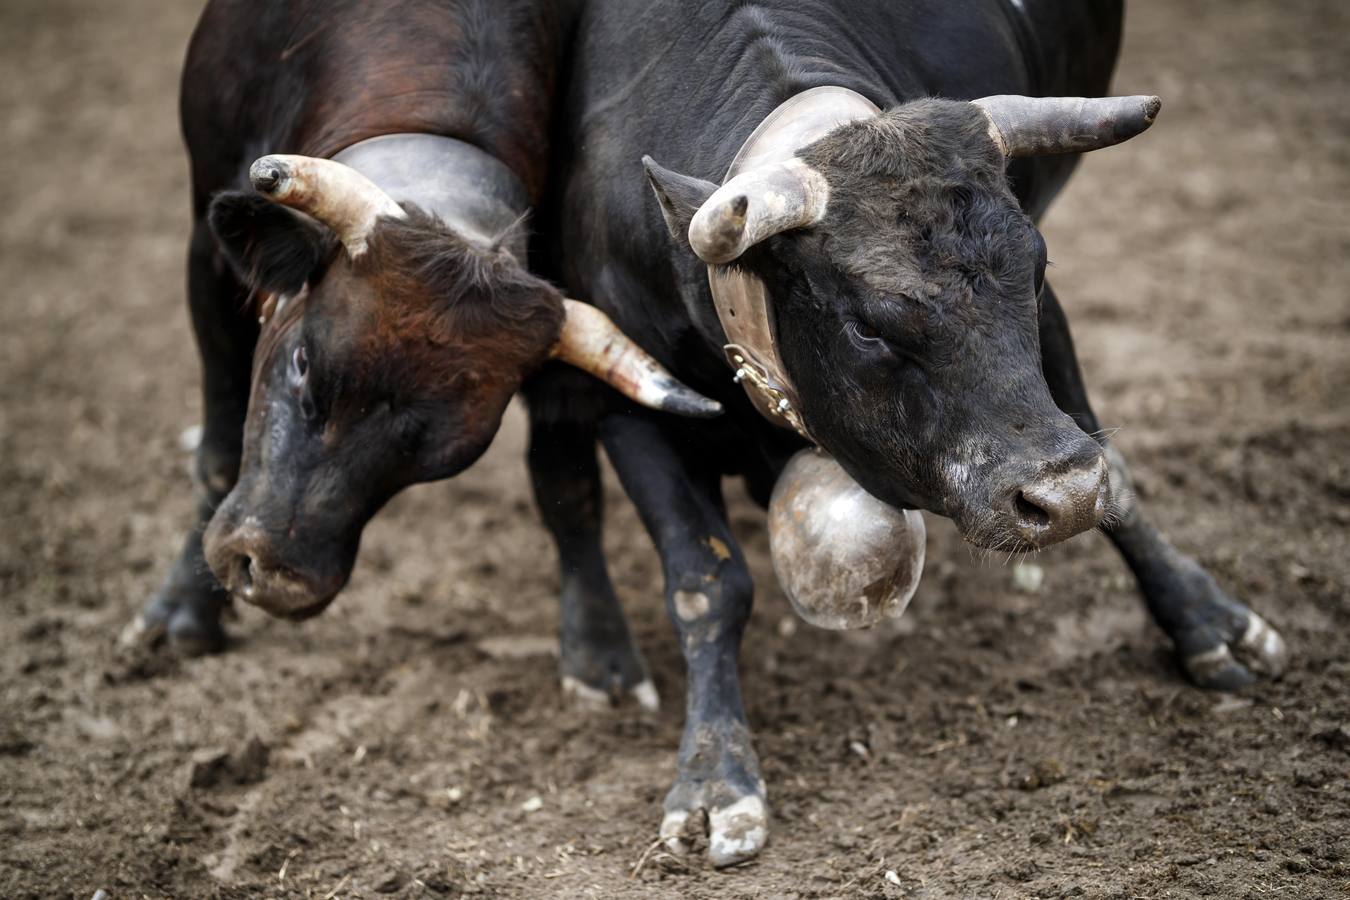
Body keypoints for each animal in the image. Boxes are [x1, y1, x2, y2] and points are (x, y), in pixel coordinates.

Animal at [125, 0, 719, 654]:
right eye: (302, 363)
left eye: (427, 452)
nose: (275, 578)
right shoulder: (205, 251)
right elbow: (219, 450)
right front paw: (182, 609)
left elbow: (568, 481)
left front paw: (598, 650)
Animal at [525, 0, 1289, 866]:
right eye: (869, 326)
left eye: (1035, 271)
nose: (1060, 498)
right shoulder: (629, 395)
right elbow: (706, 585)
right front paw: (717, 778)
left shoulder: (1054, 333)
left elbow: (1117, 473)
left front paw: (1207, 620)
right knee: (560, 475)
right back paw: (598, 658)